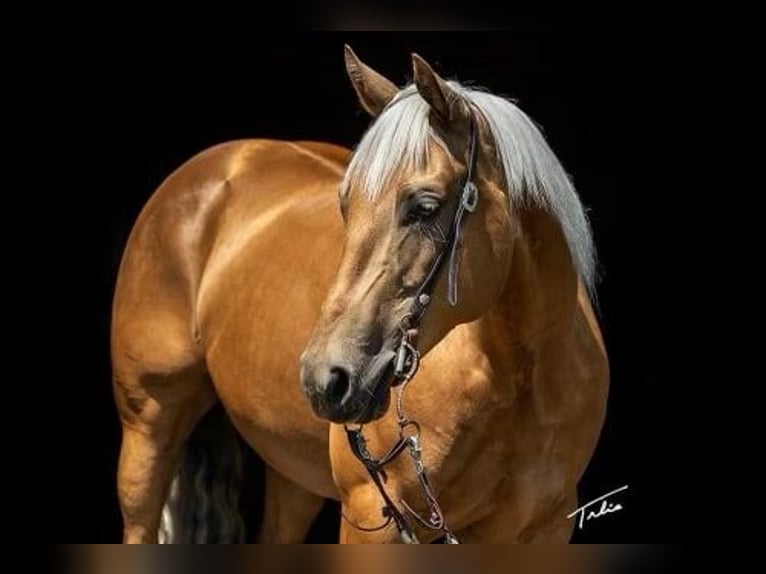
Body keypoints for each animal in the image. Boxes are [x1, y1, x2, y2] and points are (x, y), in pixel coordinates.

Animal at [112, 46, 608, 544]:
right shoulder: (374, 513)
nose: (326, 377)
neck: (514, 377)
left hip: (292, 473)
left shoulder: (544, 526)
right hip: (148, 429)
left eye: (425, 206)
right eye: (345, 205)